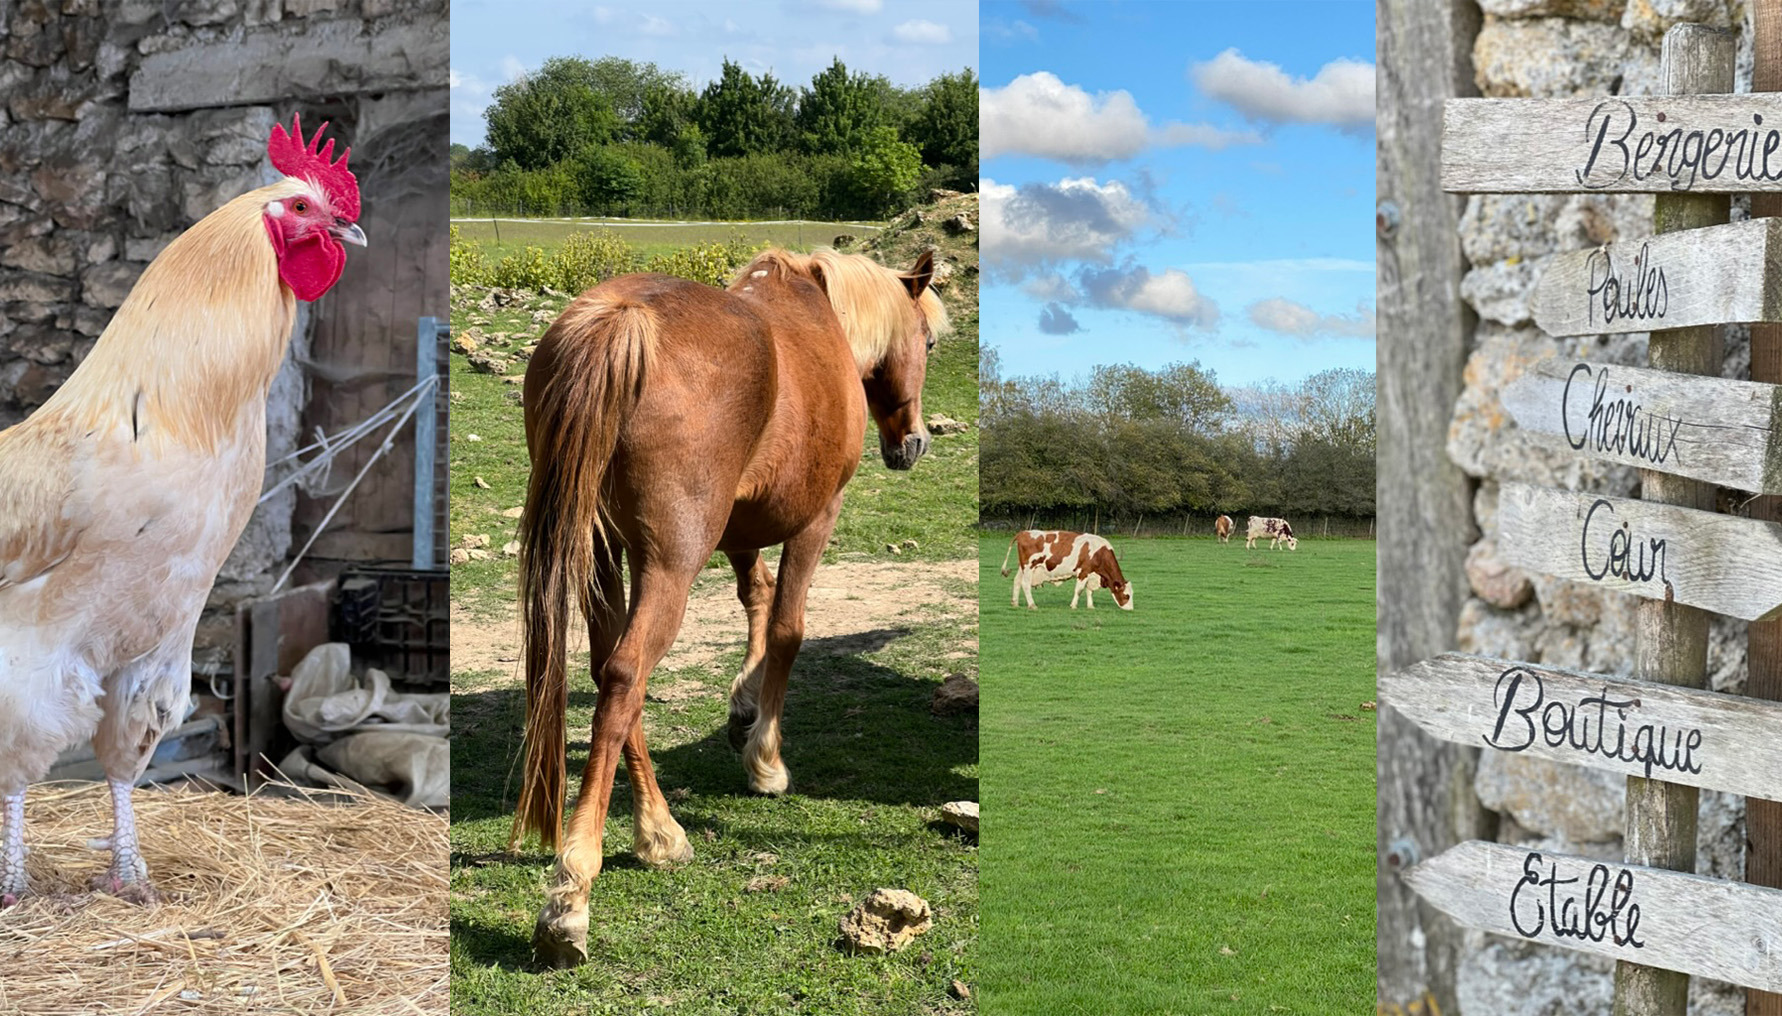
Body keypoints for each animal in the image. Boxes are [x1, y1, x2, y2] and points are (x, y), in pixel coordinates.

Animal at [509, 240, 948, 962]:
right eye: (930, 341)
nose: (912, 443)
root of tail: (620, 320)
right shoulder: (815, 518)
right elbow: (790, 627)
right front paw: (765, 758)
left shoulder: (741, 528)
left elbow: (756, 596)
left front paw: (743, 703)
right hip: (669, 563)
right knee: (626, 676)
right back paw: (572, 890)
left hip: (603, 552)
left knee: (612, 675)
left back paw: (659, 832)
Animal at [997, 531, 1133, 609]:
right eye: (1126, 596)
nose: (1130, 609)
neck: (1099, 552)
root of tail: (1024, 532)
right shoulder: (1083, 572)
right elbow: (1079, 590)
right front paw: (1073, 605)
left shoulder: (1091, 573)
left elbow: (1089, 591)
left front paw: (1090, 606)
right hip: (1029, 566)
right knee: (1025, 584)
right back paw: (1032, 605)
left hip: (1022, 568)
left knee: (1017, 581)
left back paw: (1015, 603)